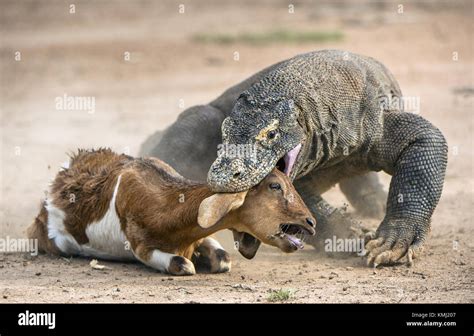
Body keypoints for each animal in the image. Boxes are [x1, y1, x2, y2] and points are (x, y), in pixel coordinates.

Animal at [29, 150, 316, 276]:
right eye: (275, 186)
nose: (311, 222)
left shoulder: (201, 235)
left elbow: (223, 258)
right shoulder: (142, 247)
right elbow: (182, 264)